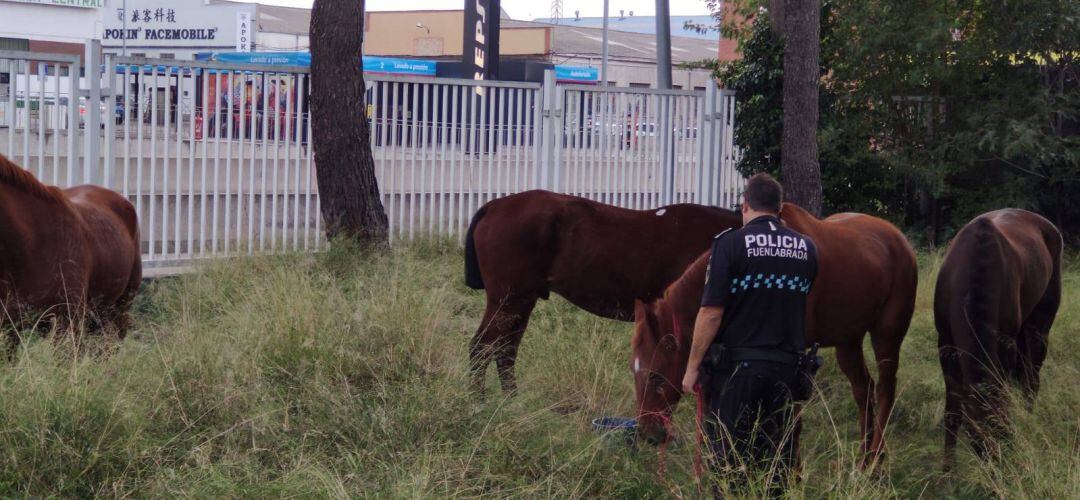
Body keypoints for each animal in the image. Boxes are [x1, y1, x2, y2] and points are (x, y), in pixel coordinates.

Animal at [464, 190, 743, 393]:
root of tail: (495, 205)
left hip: (522, 300)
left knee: (505, 351)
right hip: (507, 299)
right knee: (481, 348)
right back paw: (479, 404)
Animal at [630, 203, 915, 466]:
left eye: (655, 376)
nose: (648, 434)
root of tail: (900, 240)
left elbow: (791, 426)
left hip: (887, 337)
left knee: (885, 389)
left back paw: (875, 459)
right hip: (848, 342)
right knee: (863, 389)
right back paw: (864, 457)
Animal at [937, 209, 1062, 468]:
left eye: (1007, 434)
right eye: (977, 441)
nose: (1001, 470)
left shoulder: (1005, 345)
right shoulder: (945, 345)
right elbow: (952, 413)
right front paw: (947, 471)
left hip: (1039, 328)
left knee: (1030, 379)